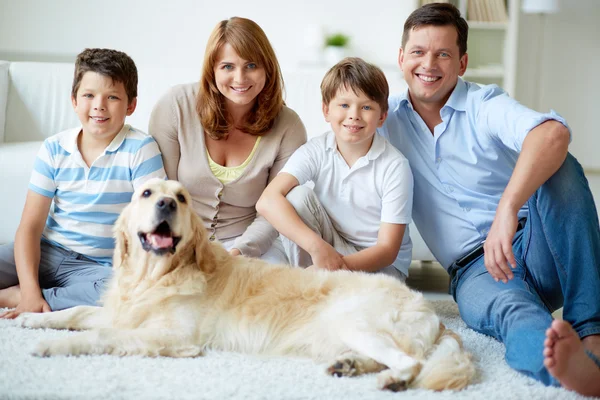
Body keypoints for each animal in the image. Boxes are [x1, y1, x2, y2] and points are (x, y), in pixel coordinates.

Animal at [18, 180, 476, 392]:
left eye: (181, 199)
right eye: (146, 192)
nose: (164, 204)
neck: (156, 276)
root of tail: (434, 314)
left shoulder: (172, 335)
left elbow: (100, 335)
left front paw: (50, 346)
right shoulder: (122, 310)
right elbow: (80, 312)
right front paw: (30, 316)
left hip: (354, 321)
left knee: (409, 362)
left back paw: (392, 381)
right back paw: (348, 366)